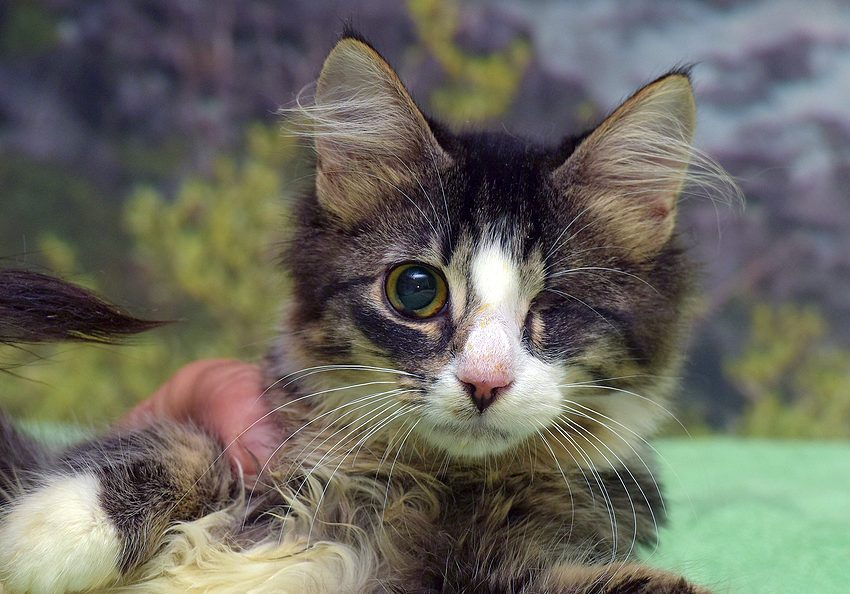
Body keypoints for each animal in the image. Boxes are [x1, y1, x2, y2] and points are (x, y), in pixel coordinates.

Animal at [1, 33, 728, 592]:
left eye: (556, 306)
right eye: (417, 290)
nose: (485, 382)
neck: (419, 486)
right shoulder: (255, 444)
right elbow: (179, 442)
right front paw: (44, 536)